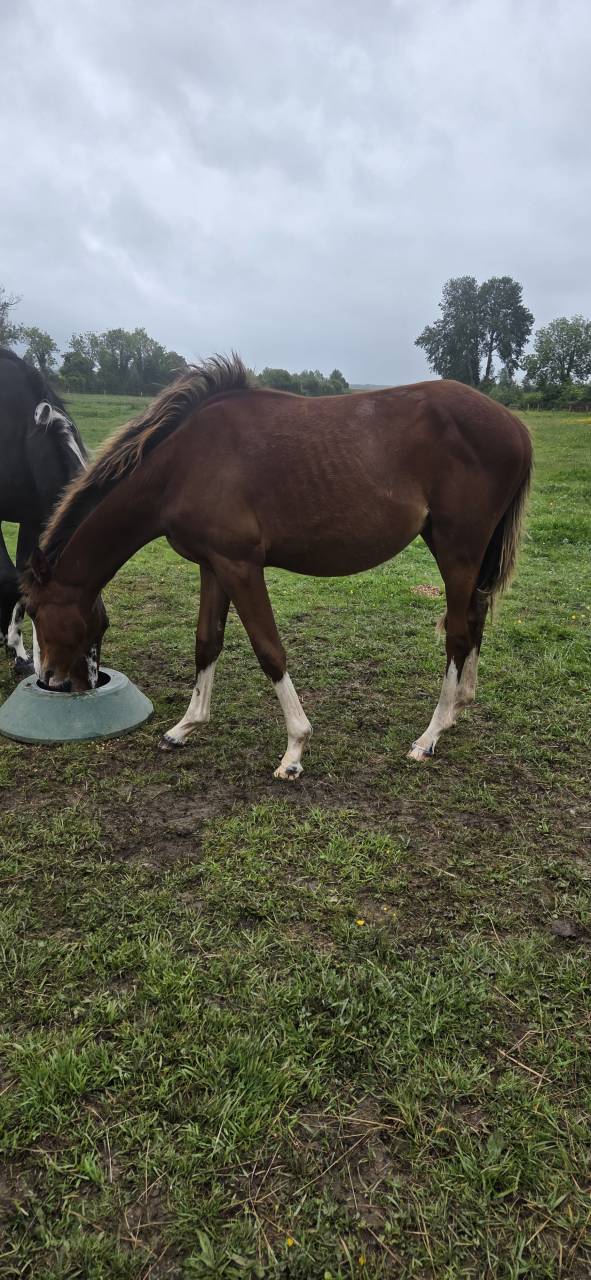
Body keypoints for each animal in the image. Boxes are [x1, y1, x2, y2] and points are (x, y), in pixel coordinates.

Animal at [22, 353, 532, 773]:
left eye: (32, 610)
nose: (51, 680)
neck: (185, 464)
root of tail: (514, 425)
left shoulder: (241, 566)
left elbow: (269, 650)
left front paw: (295, 749)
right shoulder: (213, 566)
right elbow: (207, 642)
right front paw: (184, 728)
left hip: (457, 549)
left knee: (458, 632)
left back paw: (430, 736)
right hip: (463, 552)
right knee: (475, 616)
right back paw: (460, 707)